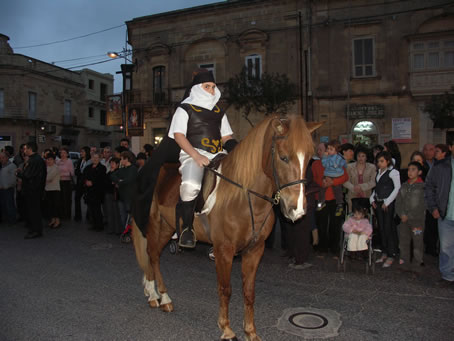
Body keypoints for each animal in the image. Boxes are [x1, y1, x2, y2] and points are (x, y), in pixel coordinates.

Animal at [130, 115, 322, 340]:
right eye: (283, 158)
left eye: (309, 158)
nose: (297, 210)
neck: (243, 195)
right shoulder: (223, 250)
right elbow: (225, 289)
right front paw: (227, 329)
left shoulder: (254, 250)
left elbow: (249, 291)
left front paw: (250, 331)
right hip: (155, 224)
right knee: (152, 254)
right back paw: (158, 296)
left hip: (169, 228)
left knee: (155, 255)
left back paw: (157, 294)